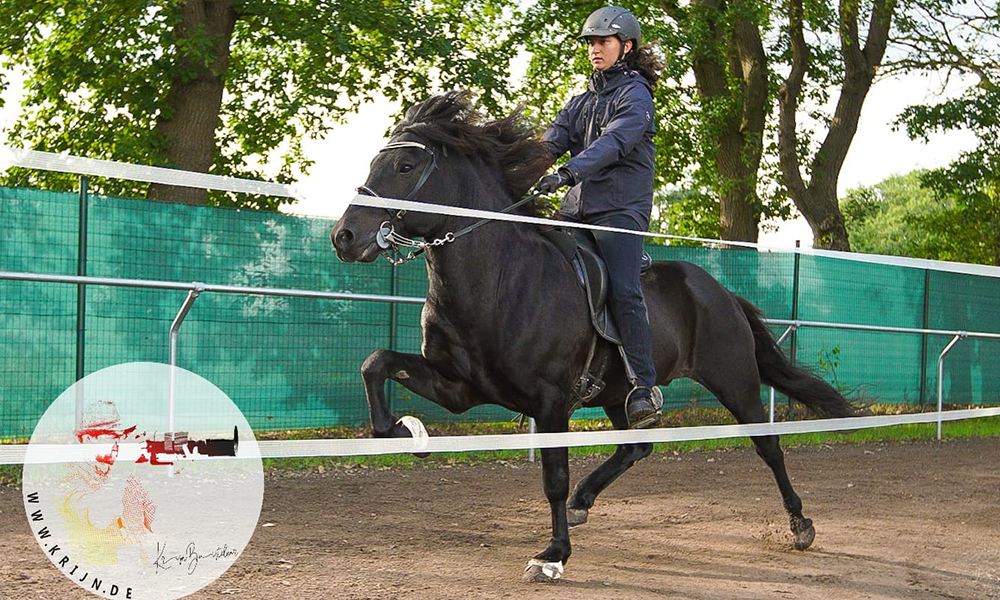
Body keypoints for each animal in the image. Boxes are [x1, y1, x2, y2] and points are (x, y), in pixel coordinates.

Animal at [332, 91, 856, 584]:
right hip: (618, 393)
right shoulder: (459, 388)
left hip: (735, 381)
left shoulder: (549, 402)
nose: (345, 236)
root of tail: (720, 292)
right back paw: (586, 501)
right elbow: (375, 363)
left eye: (405, 166)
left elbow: (554, 479)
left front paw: (552, 556)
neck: (499, 279)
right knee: (635, 447)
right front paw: (406, 431)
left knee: (768, 446)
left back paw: (800, 525)